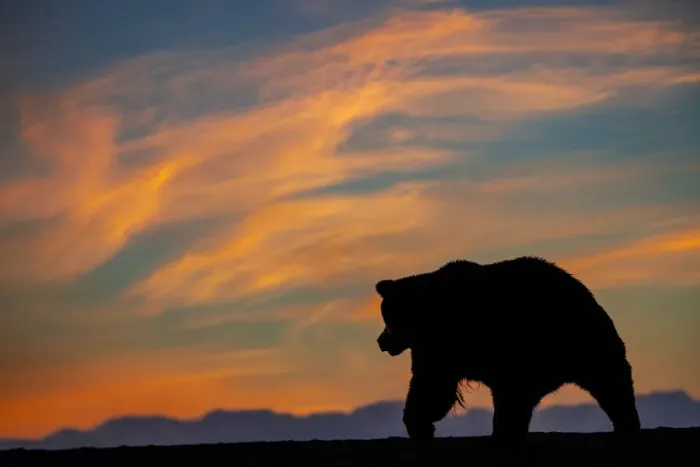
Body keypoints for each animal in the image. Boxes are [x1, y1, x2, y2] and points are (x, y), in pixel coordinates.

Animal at [375, 256, 641, 444]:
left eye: (387, 319)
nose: (381, 341)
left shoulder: (444, 344)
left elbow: (432, 386)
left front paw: (418, 425)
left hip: (568, 340)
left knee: (610, 378)